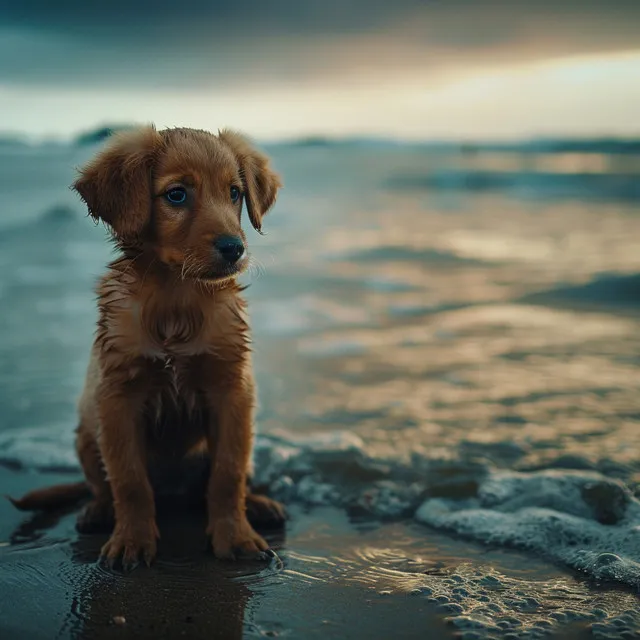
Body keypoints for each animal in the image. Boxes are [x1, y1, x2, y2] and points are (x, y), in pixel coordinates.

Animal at [9, 125, 284, 568]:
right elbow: (130, 481)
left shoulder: (231, 391)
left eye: (234, 193)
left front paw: (236, 536)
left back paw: (259, 504)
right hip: (86, 436)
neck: (176, 297)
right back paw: (98, 511)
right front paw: (132, 541)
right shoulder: (118, 397)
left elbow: (227, 474)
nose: (234, 248)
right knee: (102, 487)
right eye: (177, 195)